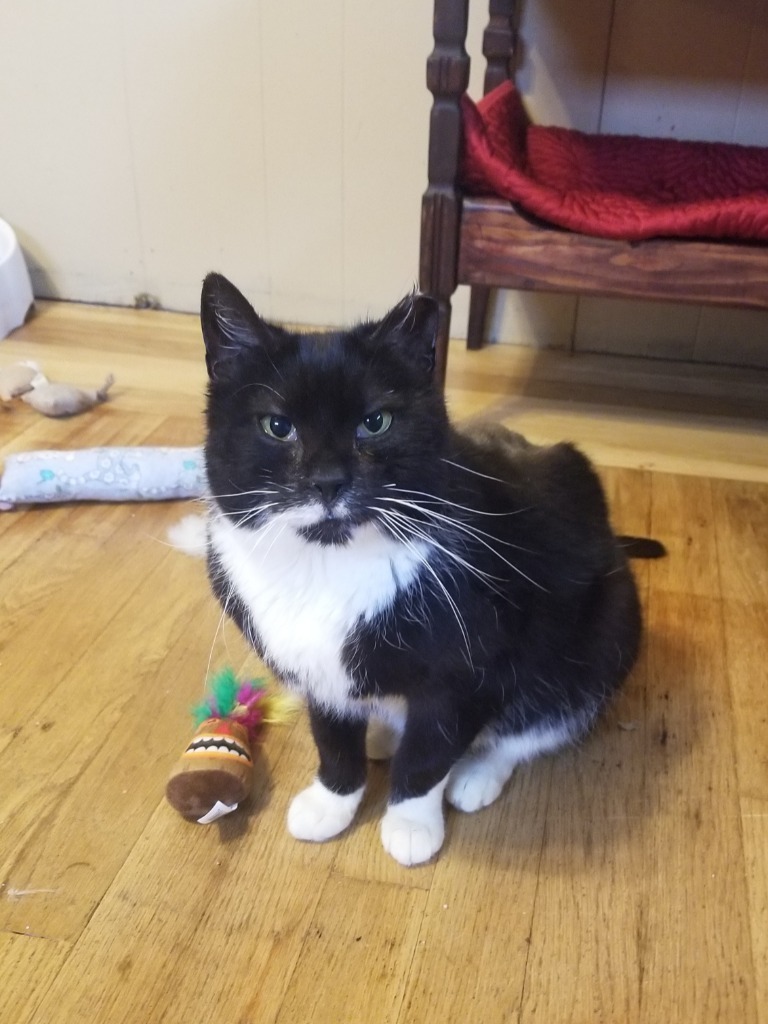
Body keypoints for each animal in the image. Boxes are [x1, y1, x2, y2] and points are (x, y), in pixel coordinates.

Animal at [201, 272, 647, 864]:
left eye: (376, 422)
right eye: (277, 426)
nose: (327, 481)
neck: (329, 561)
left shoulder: (466, 669)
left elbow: (431, 750)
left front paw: (411, 823)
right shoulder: (317, 668)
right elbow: (331, 737)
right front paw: (332, 801)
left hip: (603, 634)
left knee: (540, 720)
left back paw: (478, 773)